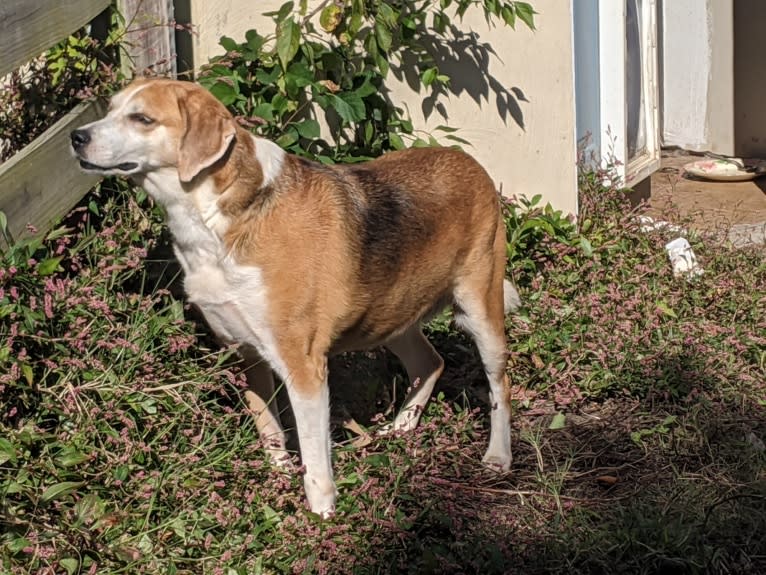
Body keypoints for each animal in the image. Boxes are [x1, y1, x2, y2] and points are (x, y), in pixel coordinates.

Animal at [72, 77, 524, 516]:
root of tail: (468, 162)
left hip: (481, 311)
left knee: (499, 386)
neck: (215, 217)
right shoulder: (246, 353)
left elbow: (315, 453)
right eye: (110, 109)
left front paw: (322, 513)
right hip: (389, 316)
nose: (76, 136)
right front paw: (279, 477)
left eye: (142, 118)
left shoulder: (303, 367)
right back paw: (400, 428)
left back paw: (497, 457)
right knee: (430, 362)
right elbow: (269, 428)